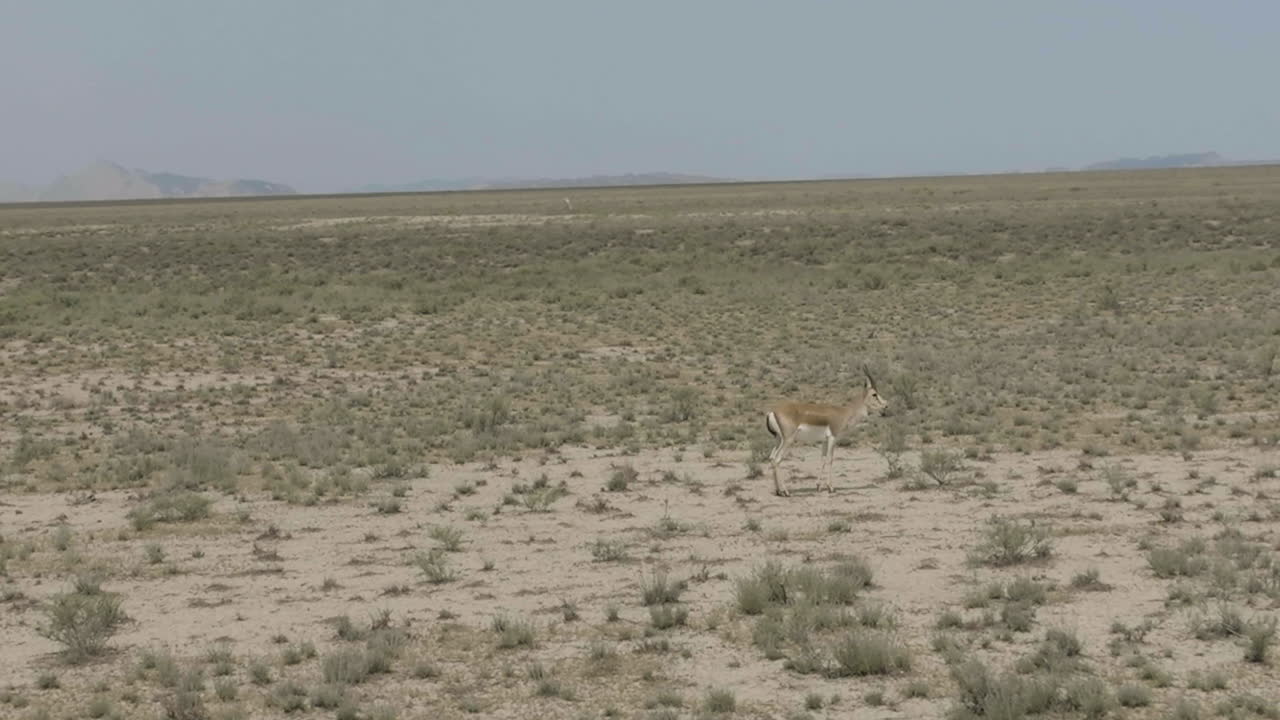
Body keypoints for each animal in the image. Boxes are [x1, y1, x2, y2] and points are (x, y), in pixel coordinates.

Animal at [764, 367, 889, 497]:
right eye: (874, 394)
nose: (886, 405)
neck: (845, 413)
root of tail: (772, 412)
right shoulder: (833, 438)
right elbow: (830, 460)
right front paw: (831, 488)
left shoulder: (824, 440)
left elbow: (823, 460)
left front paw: (818, 486)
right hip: (788, 440)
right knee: (777, 459)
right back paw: (786, 492)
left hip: (779, 439)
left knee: (772, 458)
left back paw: (778, 491)